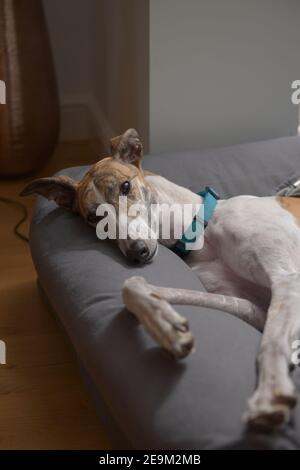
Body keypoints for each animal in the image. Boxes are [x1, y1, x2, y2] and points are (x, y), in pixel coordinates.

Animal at [22, 127, 300, 430]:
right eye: (92, 218)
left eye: (125, 187)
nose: (137, 253)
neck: (202, 229)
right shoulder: (253, 309)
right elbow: (132, 285)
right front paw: (169, 330)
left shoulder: (288, 279)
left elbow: (271, 342)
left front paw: (270, 394)